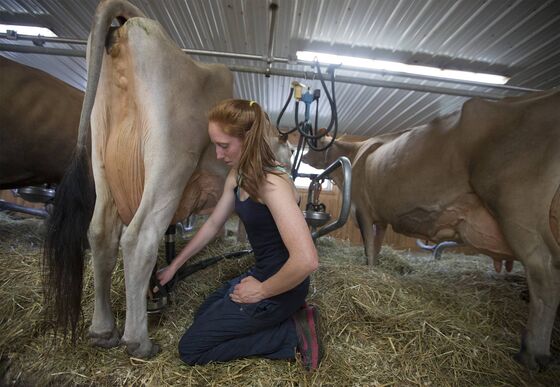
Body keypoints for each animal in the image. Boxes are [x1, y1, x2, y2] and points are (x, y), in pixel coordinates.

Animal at [43, 0, 232, 360]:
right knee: (138, 238)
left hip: (102, 156)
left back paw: (103, 330)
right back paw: (138, 340)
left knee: (101, 232)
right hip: (170, 159)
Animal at [304, 89, 560, 372]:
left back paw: (531, 353)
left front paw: (369, 271)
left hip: (516, 209)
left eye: (314, 144)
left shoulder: (363, 209)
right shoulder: (379, 217)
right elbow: (378, 244)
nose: (300, 155)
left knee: (544, 275)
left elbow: (369, 245)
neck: (359, 153)